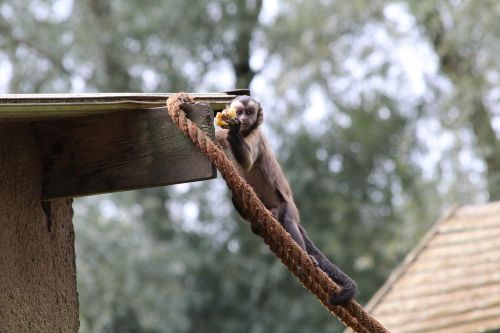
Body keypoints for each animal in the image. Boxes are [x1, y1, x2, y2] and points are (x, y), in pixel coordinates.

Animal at [215, 95, 356, 304]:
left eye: (249, 113)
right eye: (240, 112)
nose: (243, 119)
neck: (246, 132)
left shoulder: (257, 136)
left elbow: (247, 161)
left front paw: (234, 130)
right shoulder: (223, 134)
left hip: (288, 205)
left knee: (289, 220)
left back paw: (306, 256)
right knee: (237, 196)